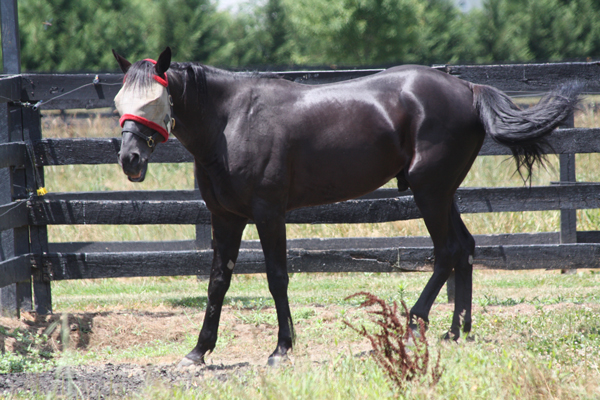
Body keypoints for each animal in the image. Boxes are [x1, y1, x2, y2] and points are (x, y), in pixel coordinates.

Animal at [112, 47, 580, 366]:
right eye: (118, 103)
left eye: (154, 100)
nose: (129, 160)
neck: (233, 122)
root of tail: (468, 88)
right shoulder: (225, 218)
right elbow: (217, 283)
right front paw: (198, 351)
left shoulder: (268, 214)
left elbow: (277, 278)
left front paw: (282, 348)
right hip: (443, 193)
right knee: (465, 247)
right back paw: (455, 333)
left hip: (429, 192)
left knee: (447, 251)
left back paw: (414, 324)